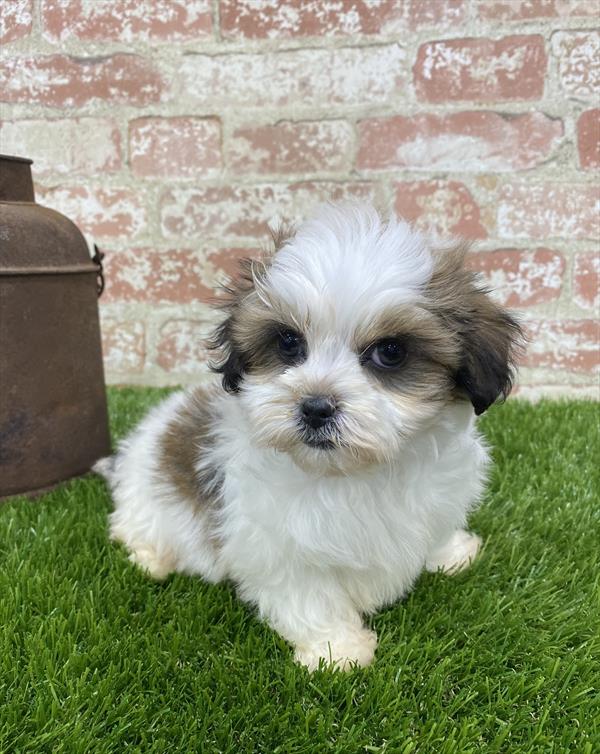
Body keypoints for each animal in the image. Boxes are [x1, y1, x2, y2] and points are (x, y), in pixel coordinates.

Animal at [96, 203, 524, 668]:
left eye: (390, 352)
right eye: (288, 342)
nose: (315, 407)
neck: (358, 474)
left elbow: (438, 529)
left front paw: (452, 554)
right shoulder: (279, 542)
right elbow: (309, 595)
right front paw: (339, 649)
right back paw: (153, 559)